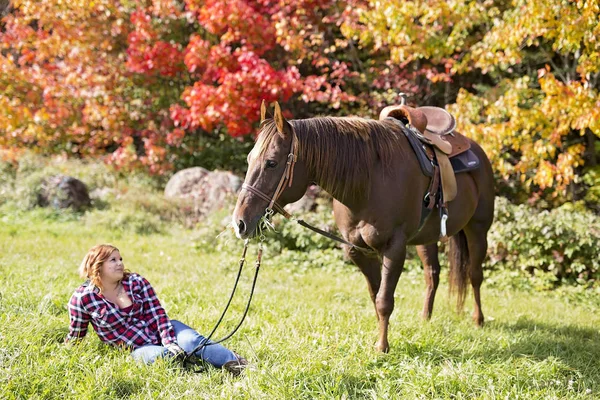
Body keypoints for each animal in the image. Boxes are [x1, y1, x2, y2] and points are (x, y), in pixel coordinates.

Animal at [232, 101, 494, 354]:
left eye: (271, 163)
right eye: (248, 159)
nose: (240, 222)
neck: (369, 180)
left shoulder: (394, 248)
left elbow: (384, 300)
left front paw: (382, 347)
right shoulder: (357, 249)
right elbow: (375, 295)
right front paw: (381, 338)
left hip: (478, 229)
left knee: (474, 274)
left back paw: (478, 319)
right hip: (426, 238)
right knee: (432, 274)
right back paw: (425, 318)